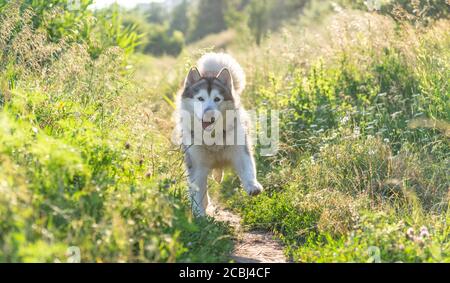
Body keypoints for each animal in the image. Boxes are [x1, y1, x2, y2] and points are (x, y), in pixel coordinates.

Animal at [173, 53, 264, 217]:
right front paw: (199, 214)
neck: (213, 138)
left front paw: (252, 185)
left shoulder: (240, 150)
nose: (209, 114)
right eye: (200, 98)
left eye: (217, 99)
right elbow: (198, 192)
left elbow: (247, 167)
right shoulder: (197, 164)